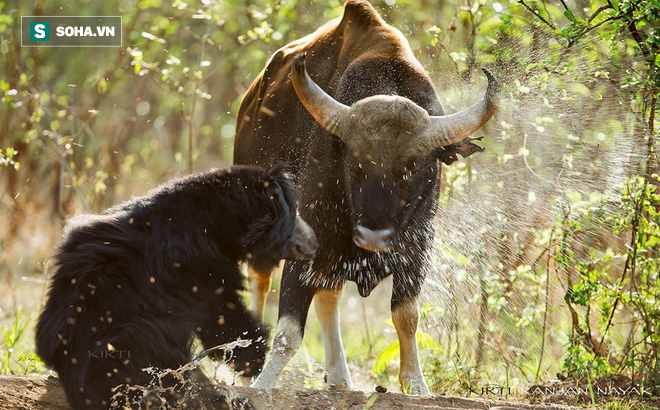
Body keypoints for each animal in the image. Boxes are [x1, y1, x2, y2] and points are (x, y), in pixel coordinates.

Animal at [34, 165, 318, 408]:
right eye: (293, 215)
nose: (314, 244)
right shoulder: (197, 267)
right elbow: (222, 314)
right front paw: (253, 359)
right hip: (132, 340)